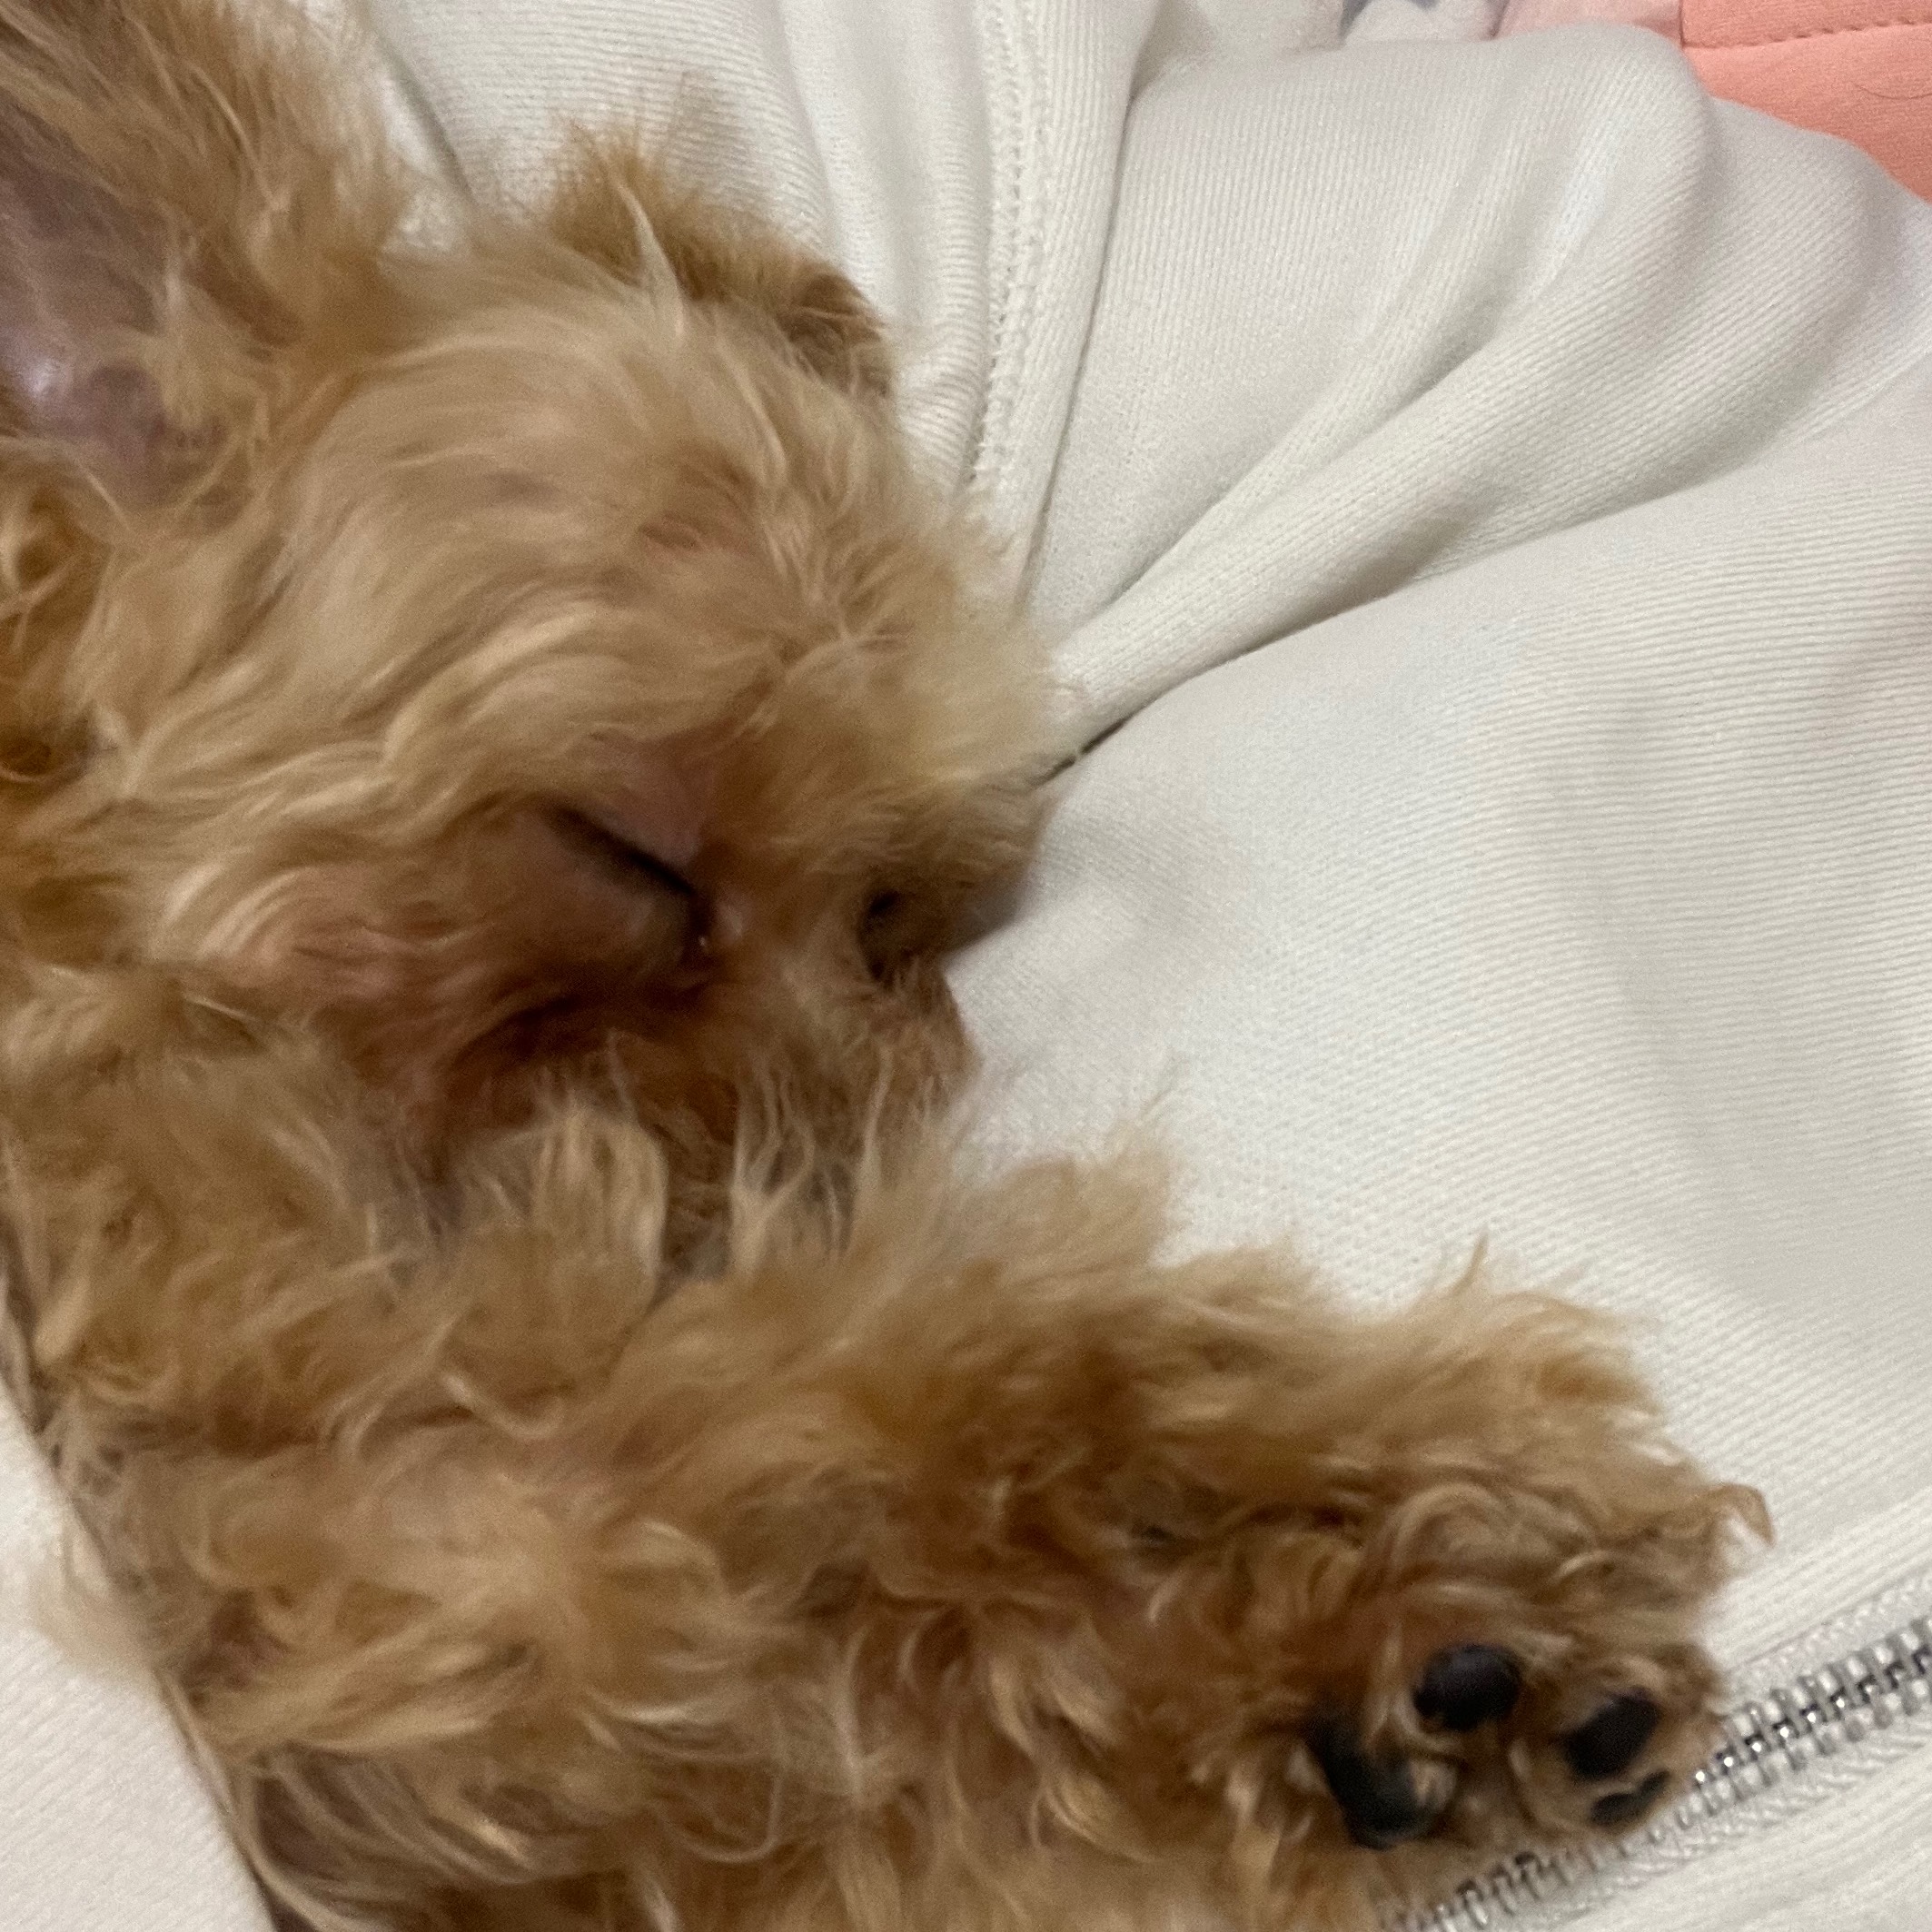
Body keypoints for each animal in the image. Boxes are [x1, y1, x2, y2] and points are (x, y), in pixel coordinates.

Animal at [0, 2, 1766, 1928]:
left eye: (884, 911)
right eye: (627, 855)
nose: (832, 1150)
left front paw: (1369, 1646)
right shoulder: (347, 1551)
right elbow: (887, 1367)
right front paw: (1389, 1479)